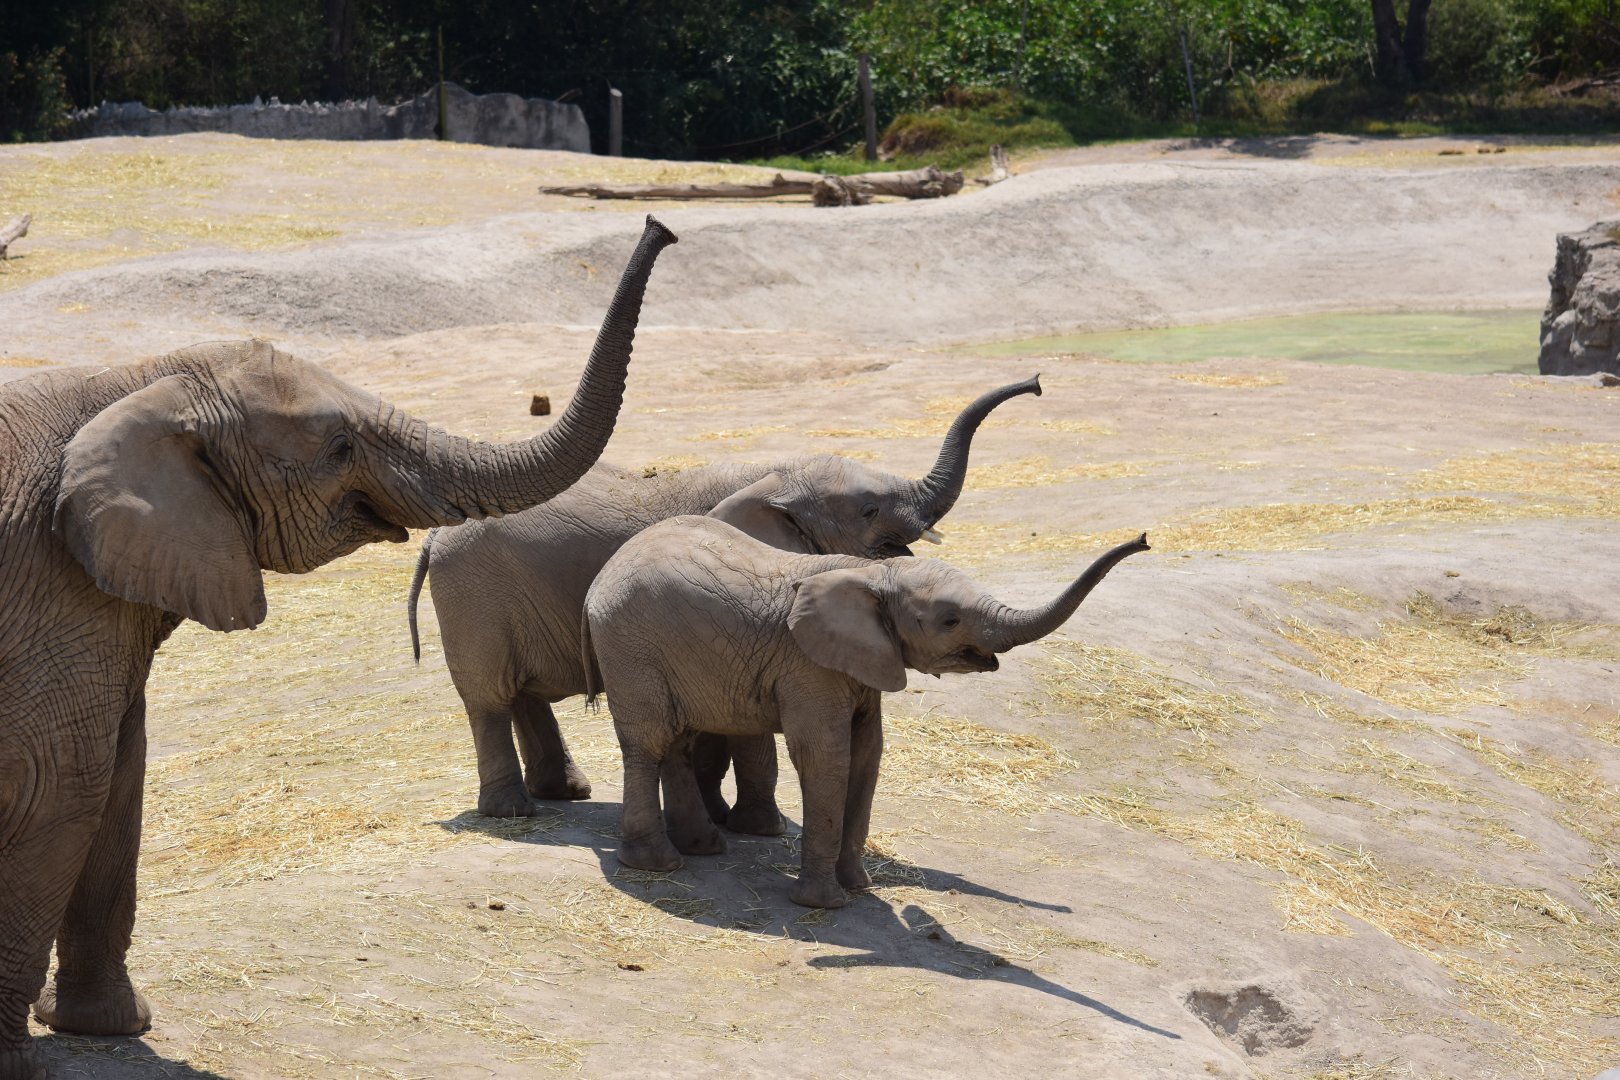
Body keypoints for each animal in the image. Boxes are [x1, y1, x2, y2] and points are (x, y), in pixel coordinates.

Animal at [0, 216, 675, 1080]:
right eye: (342, 446)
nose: (661, 227)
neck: (131, 380)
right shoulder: (47, 585)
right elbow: (60, 785)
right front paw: (18, 1063)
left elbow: (121, 776)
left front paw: (113, 1027)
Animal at [406, 376, 1042, 828]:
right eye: (870, 510)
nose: (1036, 383)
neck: (775, 478)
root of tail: (435, 536)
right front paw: (756, 828)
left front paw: (718, 817)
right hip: (473, 593)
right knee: (489, 695)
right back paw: (514, 811)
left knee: (519, 692)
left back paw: (566, 793)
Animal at [581, 514, 1150, 908]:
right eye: (949, 619)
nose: (1144, 540)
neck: (875, 575)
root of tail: (598, 580)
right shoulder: (808, 664)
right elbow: (826, 755)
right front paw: (825, 904)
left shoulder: (862, 661)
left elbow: (868, 753)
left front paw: (860, 886)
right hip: (630, 646)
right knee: (650, 741)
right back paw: (659, 865)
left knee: (676, 741)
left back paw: (703, 849)